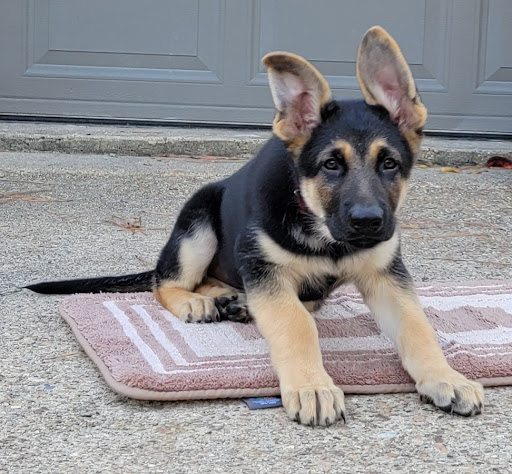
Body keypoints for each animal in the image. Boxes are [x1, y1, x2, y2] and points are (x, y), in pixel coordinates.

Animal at [27, 26, 484, 426]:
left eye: (389, 163)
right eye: (331, 165)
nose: (369, 223)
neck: (322, 231)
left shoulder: (386, 276)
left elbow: (417, 326)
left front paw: (446, 378)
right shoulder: (264, 268)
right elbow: (294, 325)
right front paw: (312, 386)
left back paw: (230, 299)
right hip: (198, 224)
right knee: (165, 282)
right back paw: (197, 302)